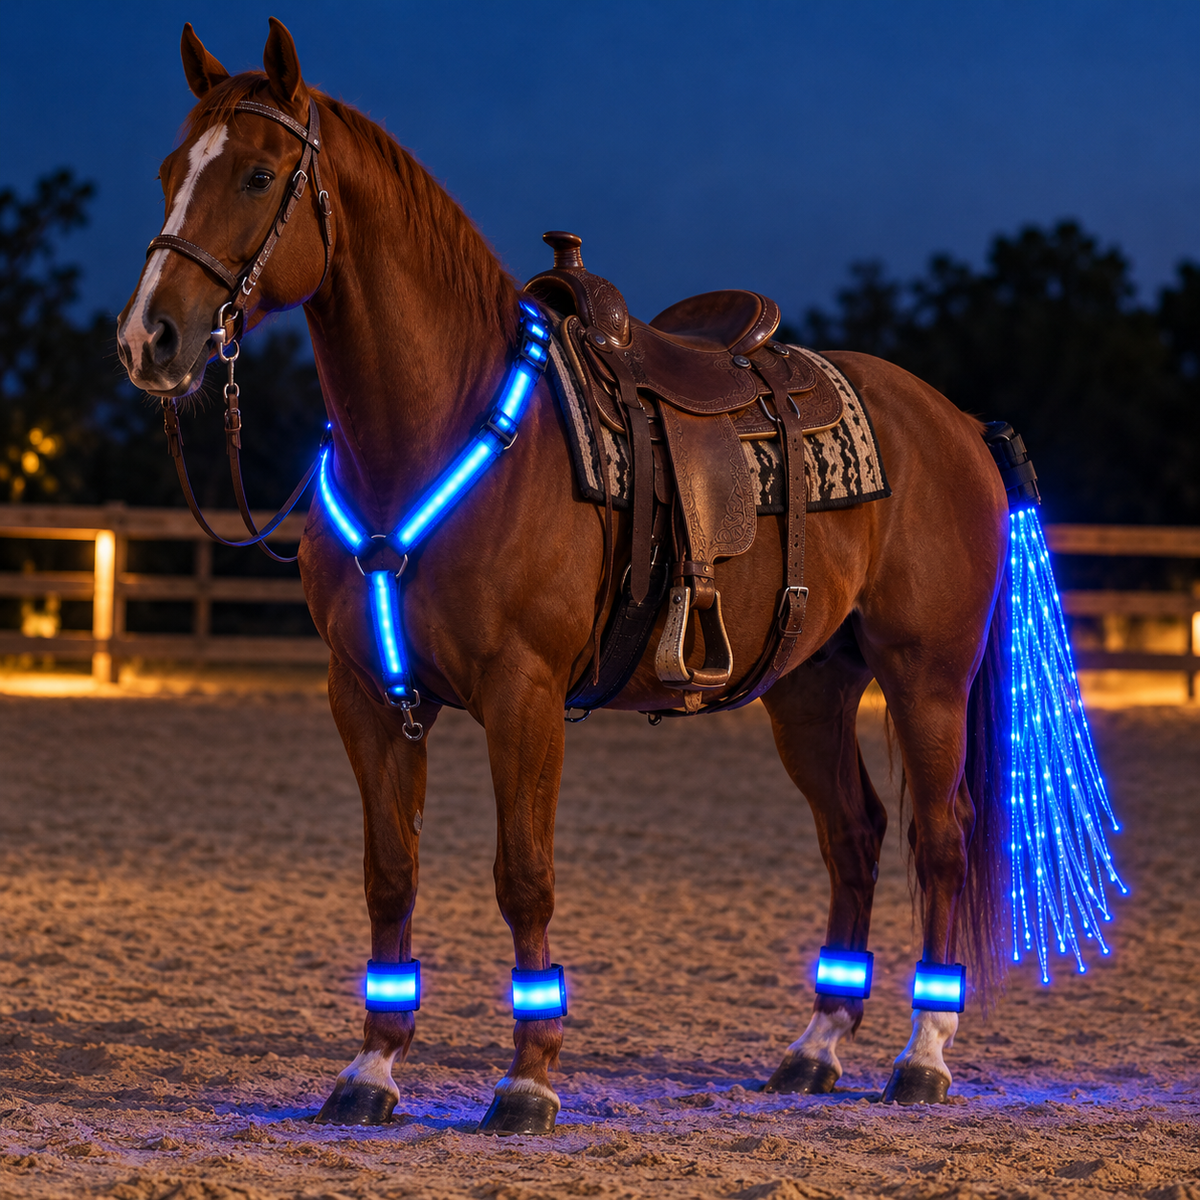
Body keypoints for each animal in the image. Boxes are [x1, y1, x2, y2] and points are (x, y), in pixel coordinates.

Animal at [116, 19, 1010, 1133]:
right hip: (810, 687)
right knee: (854, 835)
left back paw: (923, 1055)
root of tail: (956, 421)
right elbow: (389, 874)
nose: (148, 337)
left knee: (939, 840)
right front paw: (371, 1069)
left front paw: (529, 1079)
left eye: (257, 173)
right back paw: (814, 1049)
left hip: (925, 679)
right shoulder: (366, 694)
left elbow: (524, 878)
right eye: (167, 173)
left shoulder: (524, 694)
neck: (439, 430)